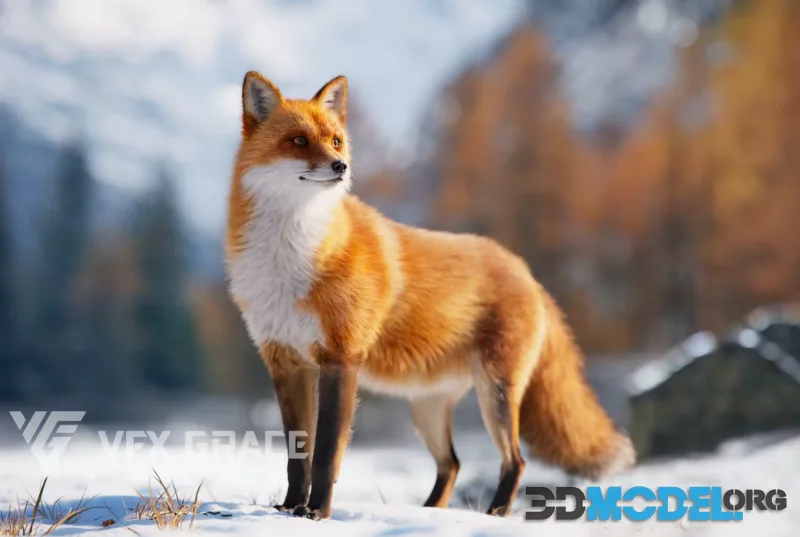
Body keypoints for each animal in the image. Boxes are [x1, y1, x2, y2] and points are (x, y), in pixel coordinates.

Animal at [225, 71, 635, 521]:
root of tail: (526, 271)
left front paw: (316, 513)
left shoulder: (340, 358)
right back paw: (431, 514)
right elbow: (298, 455)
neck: (291, 256)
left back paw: (493, 515)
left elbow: (327, 453)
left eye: (335, 140)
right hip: (428, 409)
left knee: (515, 461)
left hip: (495, 393)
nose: (340, 166)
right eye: (298, 141)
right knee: (452, 464)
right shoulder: (286, 362)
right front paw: (289, 508)